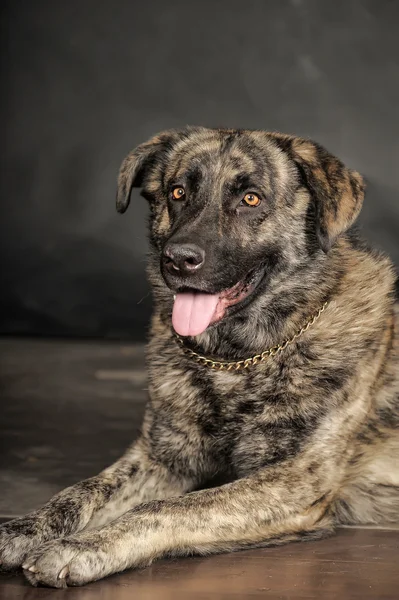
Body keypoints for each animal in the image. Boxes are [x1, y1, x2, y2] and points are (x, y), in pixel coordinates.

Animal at [0, 125, 399, 584]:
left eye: (250, 199)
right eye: (177, 193)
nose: (178, 259)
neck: (236, 361)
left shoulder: (293, 483)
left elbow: (168, 508)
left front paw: (82, 547)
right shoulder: (162, 458)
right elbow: (81, 491)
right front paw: (25, 528)